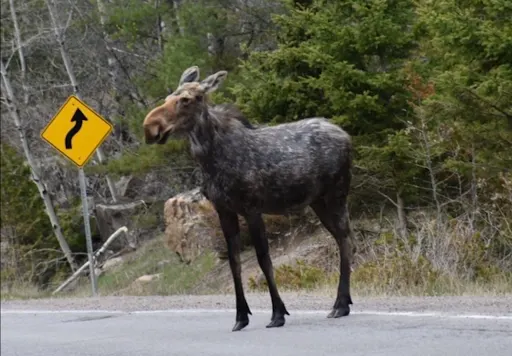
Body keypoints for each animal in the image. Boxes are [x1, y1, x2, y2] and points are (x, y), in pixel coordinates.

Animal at [142, 66, 354, 330]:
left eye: (187, 99)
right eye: (168, 97)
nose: (150, 126)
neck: (212, 160)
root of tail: (346, 136)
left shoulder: (252, 208)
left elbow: (263, 259)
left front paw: (277, 313)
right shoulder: (224, 210)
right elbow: (234, 262)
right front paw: (241, 316)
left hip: (337, 193)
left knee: (345, 237)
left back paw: (341, 304)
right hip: (317, 201)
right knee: (340, 237)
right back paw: (343, 302)